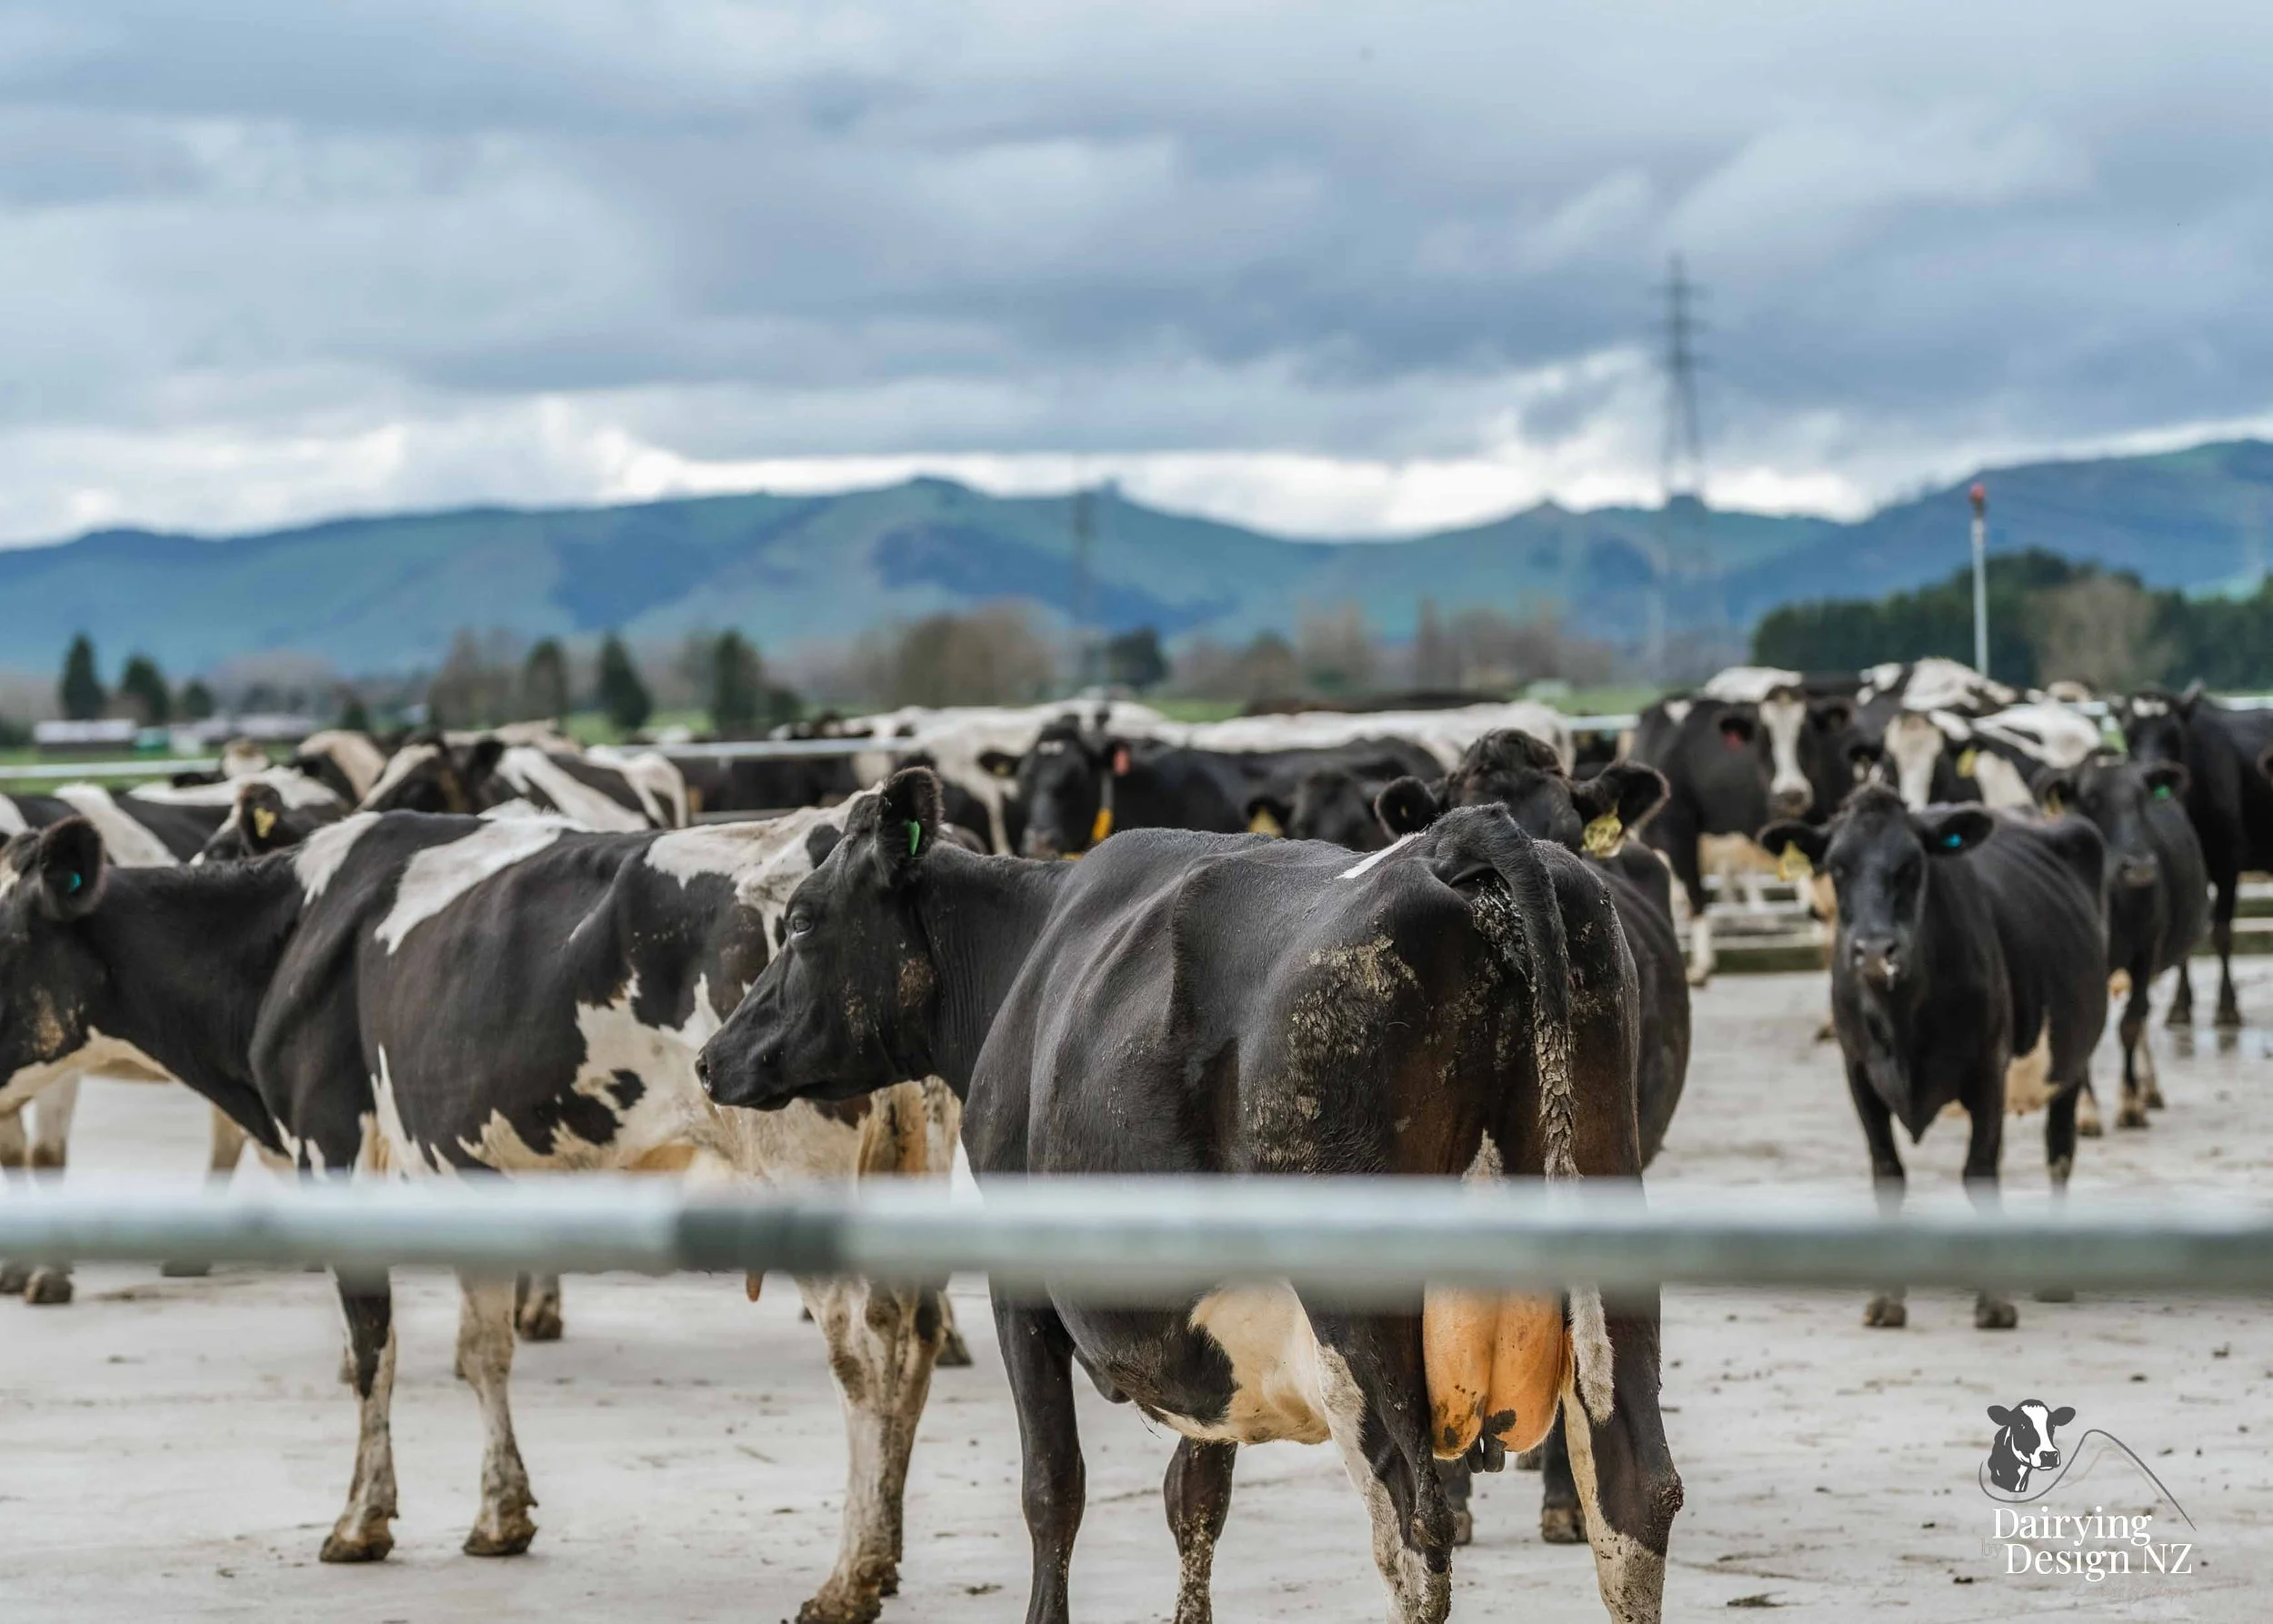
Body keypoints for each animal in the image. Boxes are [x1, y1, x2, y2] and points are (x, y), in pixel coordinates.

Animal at [0, 805, 951, 1622]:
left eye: (3, 939)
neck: (286, 936)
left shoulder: (334, 1158)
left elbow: (373, 1348)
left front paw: (361, 1521)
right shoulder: (466, 1178)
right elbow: (482, 1349)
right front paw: (500, 1516)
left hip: (803, 1178)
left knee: (862, 1356)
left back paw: (848, 1578)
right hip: (917, 1166)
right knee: (916, 1335)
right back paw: (887, 1554)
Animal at [1761, 786, 2107, 1330]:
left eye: (1912, 864)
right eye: (1836, 866)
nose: (1875, 950)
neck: (1903, 1018)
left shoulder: (1988, 1066)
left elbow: (1980, 1172)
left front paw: (1993, 1302)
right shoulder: (1858, 1070)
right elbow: (1888, 1174)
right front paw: (1887, 1300)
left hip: (2070, 1062)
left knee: (2059, 1154)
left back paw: (2055, 1279)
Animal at [2033, 757, 2206, 1131]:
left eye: (2141, 800)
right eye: (2091, 801)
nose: (2139, 866)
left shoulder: (2145, 954)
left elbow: (2129, 1024)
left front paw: (2129, 1104)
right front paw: (2085, 1111)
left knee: (2141, 1016)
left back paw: (2148, 1089)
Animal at [2120, 683, 2273, 1029]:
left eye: (2173, 734)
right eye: (2129, 734)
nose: (2152, 774)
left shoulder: (2229, 863)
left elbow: (2221, 933)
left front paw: (2228, 1008)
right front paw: (2179, 1006)